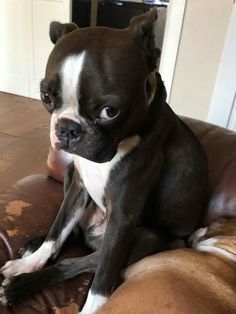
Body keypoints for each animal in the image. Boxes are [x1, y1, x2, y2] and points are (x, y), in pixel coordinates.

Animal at [0, 8, 207, 312]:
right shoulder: (77, 187)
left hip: (143, 238)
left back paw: (20, 287)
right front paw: (31, 262)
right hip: (70, 176)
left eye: (110, 111)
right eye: (45, 97)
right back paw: (31, 253)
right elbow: (57, 231)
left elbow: (101, 281)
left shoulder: (122, 217)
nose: (67, 129)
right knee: (69, 235)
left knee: (81, 263)